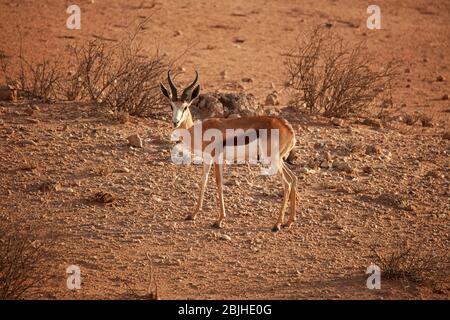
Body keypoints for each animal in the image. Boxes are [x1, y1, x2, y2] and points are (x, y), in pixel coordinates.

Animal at [160, 70, 298, 231]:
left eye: (185, 107)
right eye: (171, 106)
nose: (175, 122)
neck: (199, 131)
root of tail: (288, 129)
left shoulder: (217, 158)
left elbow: (219, 183)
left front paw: (219, 220)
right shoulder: (207, 159)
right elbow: (203, 181)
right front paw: (192, 214)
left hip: (273, 159)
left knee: (287, 184)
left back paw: (277, 224)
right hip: (279, 159)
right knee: (293, 178)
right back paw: (289, 221)